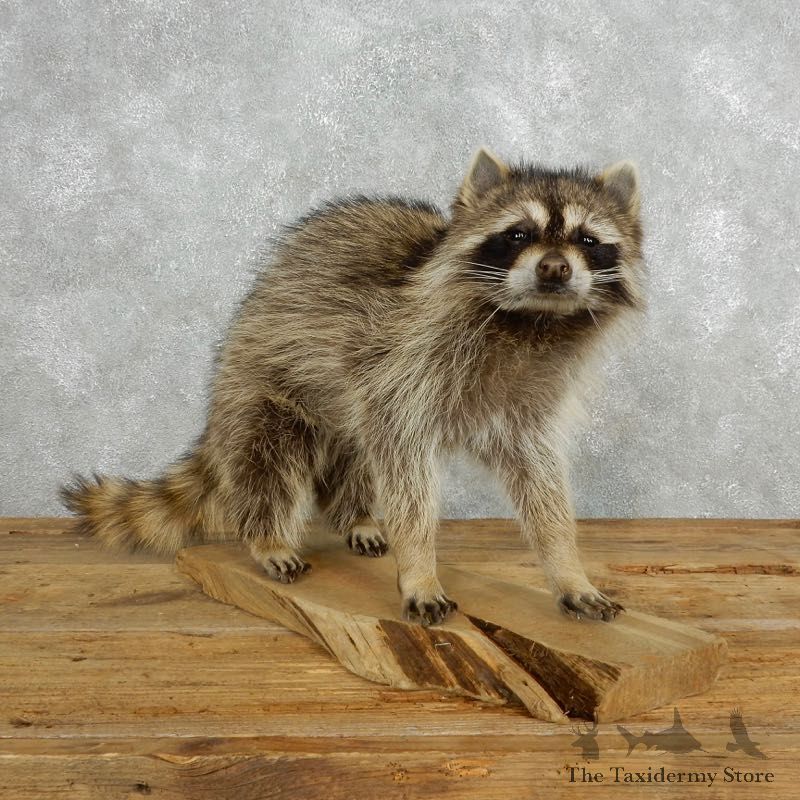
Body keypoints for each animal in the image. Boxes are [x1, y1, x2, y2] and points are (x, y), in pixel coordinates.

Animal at [62, 148, 644, 626]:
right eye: (518, 234)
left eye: (587, 241)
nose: (555, 268)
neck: (529, 321)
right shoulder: (404, 363)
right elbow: (407, 476)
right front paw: (420, 567)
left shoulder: (529, 397)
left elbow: (540, 480)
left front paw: (567, 565)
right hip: (262, 377)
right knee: (268, 458)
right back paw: (267, 535)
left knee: (358, 454)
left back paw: (357, 515)